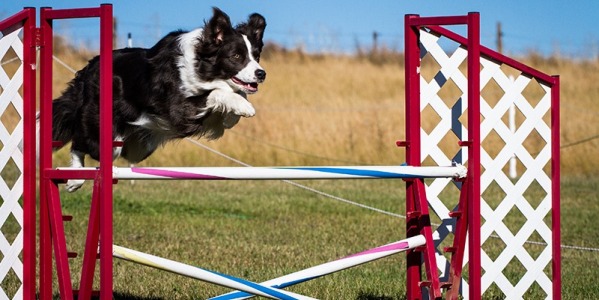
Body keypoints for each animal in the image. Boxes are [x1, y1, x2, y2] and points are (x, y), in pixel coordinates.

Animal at [49, 8, 268, 191]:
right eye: (236, 56)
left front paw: (232, 115)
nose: (261, 74)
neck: (201, 65)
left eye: (256, 56)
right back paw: (74, 179)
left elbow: (231, 96)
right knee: (80, 143)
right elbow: (216, 92)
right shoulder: (178, 107)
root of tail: (87, 70)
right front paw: (244, 107)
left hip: (139, 146)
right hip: (104, 130)